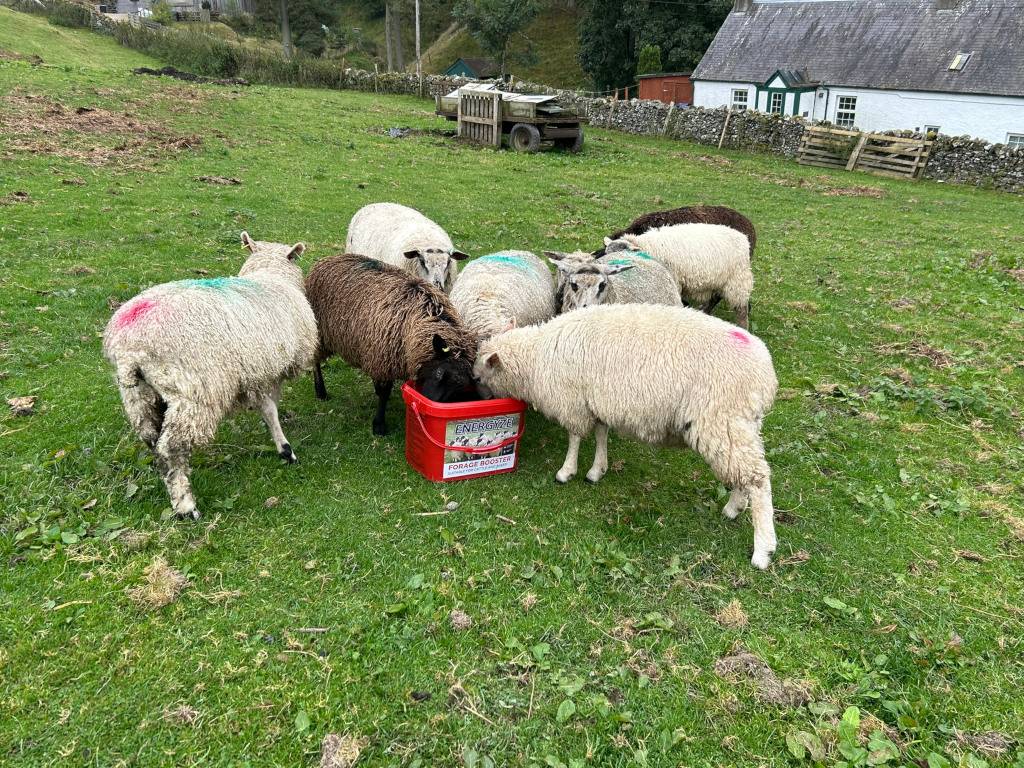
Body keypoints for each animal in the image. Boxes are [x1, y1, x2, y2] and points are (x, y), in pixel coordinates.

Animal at [102, 232, 318, 521]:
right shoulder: (268, 371)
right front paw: (285, 448)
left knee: (152, 441)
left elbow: (266, 407)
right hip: (193, 393)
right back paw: (186, 506)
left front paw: (281, 445)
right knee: (170, 448)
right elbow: (271, 408)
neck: (269, 276)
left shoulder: (253, 372)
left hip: (138, 396)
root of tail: (128, 347)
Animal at [305, 253, 477, 435]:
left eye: (459, 388)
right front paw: (379, 424)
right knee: (315, 361)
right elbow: (385, 392)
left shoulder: (381, 353)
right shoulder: (384, 356)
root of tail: (329, 258)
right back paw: (321, 391)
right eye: (438, 373)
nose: (428, 406)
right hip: (319, 329)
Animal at [472, 304, 779, 569]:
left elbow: (574, 437)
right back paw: (734, 508)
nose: (476, 395)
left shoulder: (571, 401)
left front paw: (566, 471)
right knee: (745, 475)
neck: (535, 356)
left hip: (721, 419)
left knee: (758, 480)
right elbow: (600, 434)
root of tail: (767, 376)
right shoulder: (595, 401)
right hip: (739, 425)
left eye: (477, 377)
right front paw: (597, 470)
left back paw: (762, 550)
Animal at [603, 223, 753, 329]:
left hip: (737, 281)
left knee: (741, 309)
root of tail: (742, 237)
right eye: (607, 253)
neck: (647, 248)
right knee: (714, 298)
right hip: (717, 281)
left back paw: (743, 326)